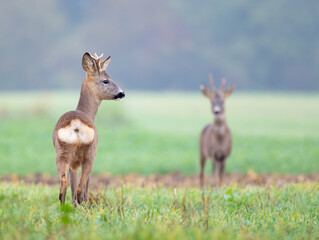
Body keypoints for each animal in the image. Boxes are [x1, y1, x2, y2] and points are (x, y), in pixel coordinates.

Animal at [52, 52, 125, 204]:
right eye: (105, 80)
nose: (122, 93)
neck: (86, 112)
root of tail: (76, 124)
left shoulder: (73, 163)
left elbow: (72, 186)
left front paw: (73, 205)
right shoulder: (93, 154)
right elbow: (83, 186)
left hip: (62, 153)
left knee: (63, 185)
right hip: (89, 153)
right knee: (81, 189)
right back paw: (84, 206)